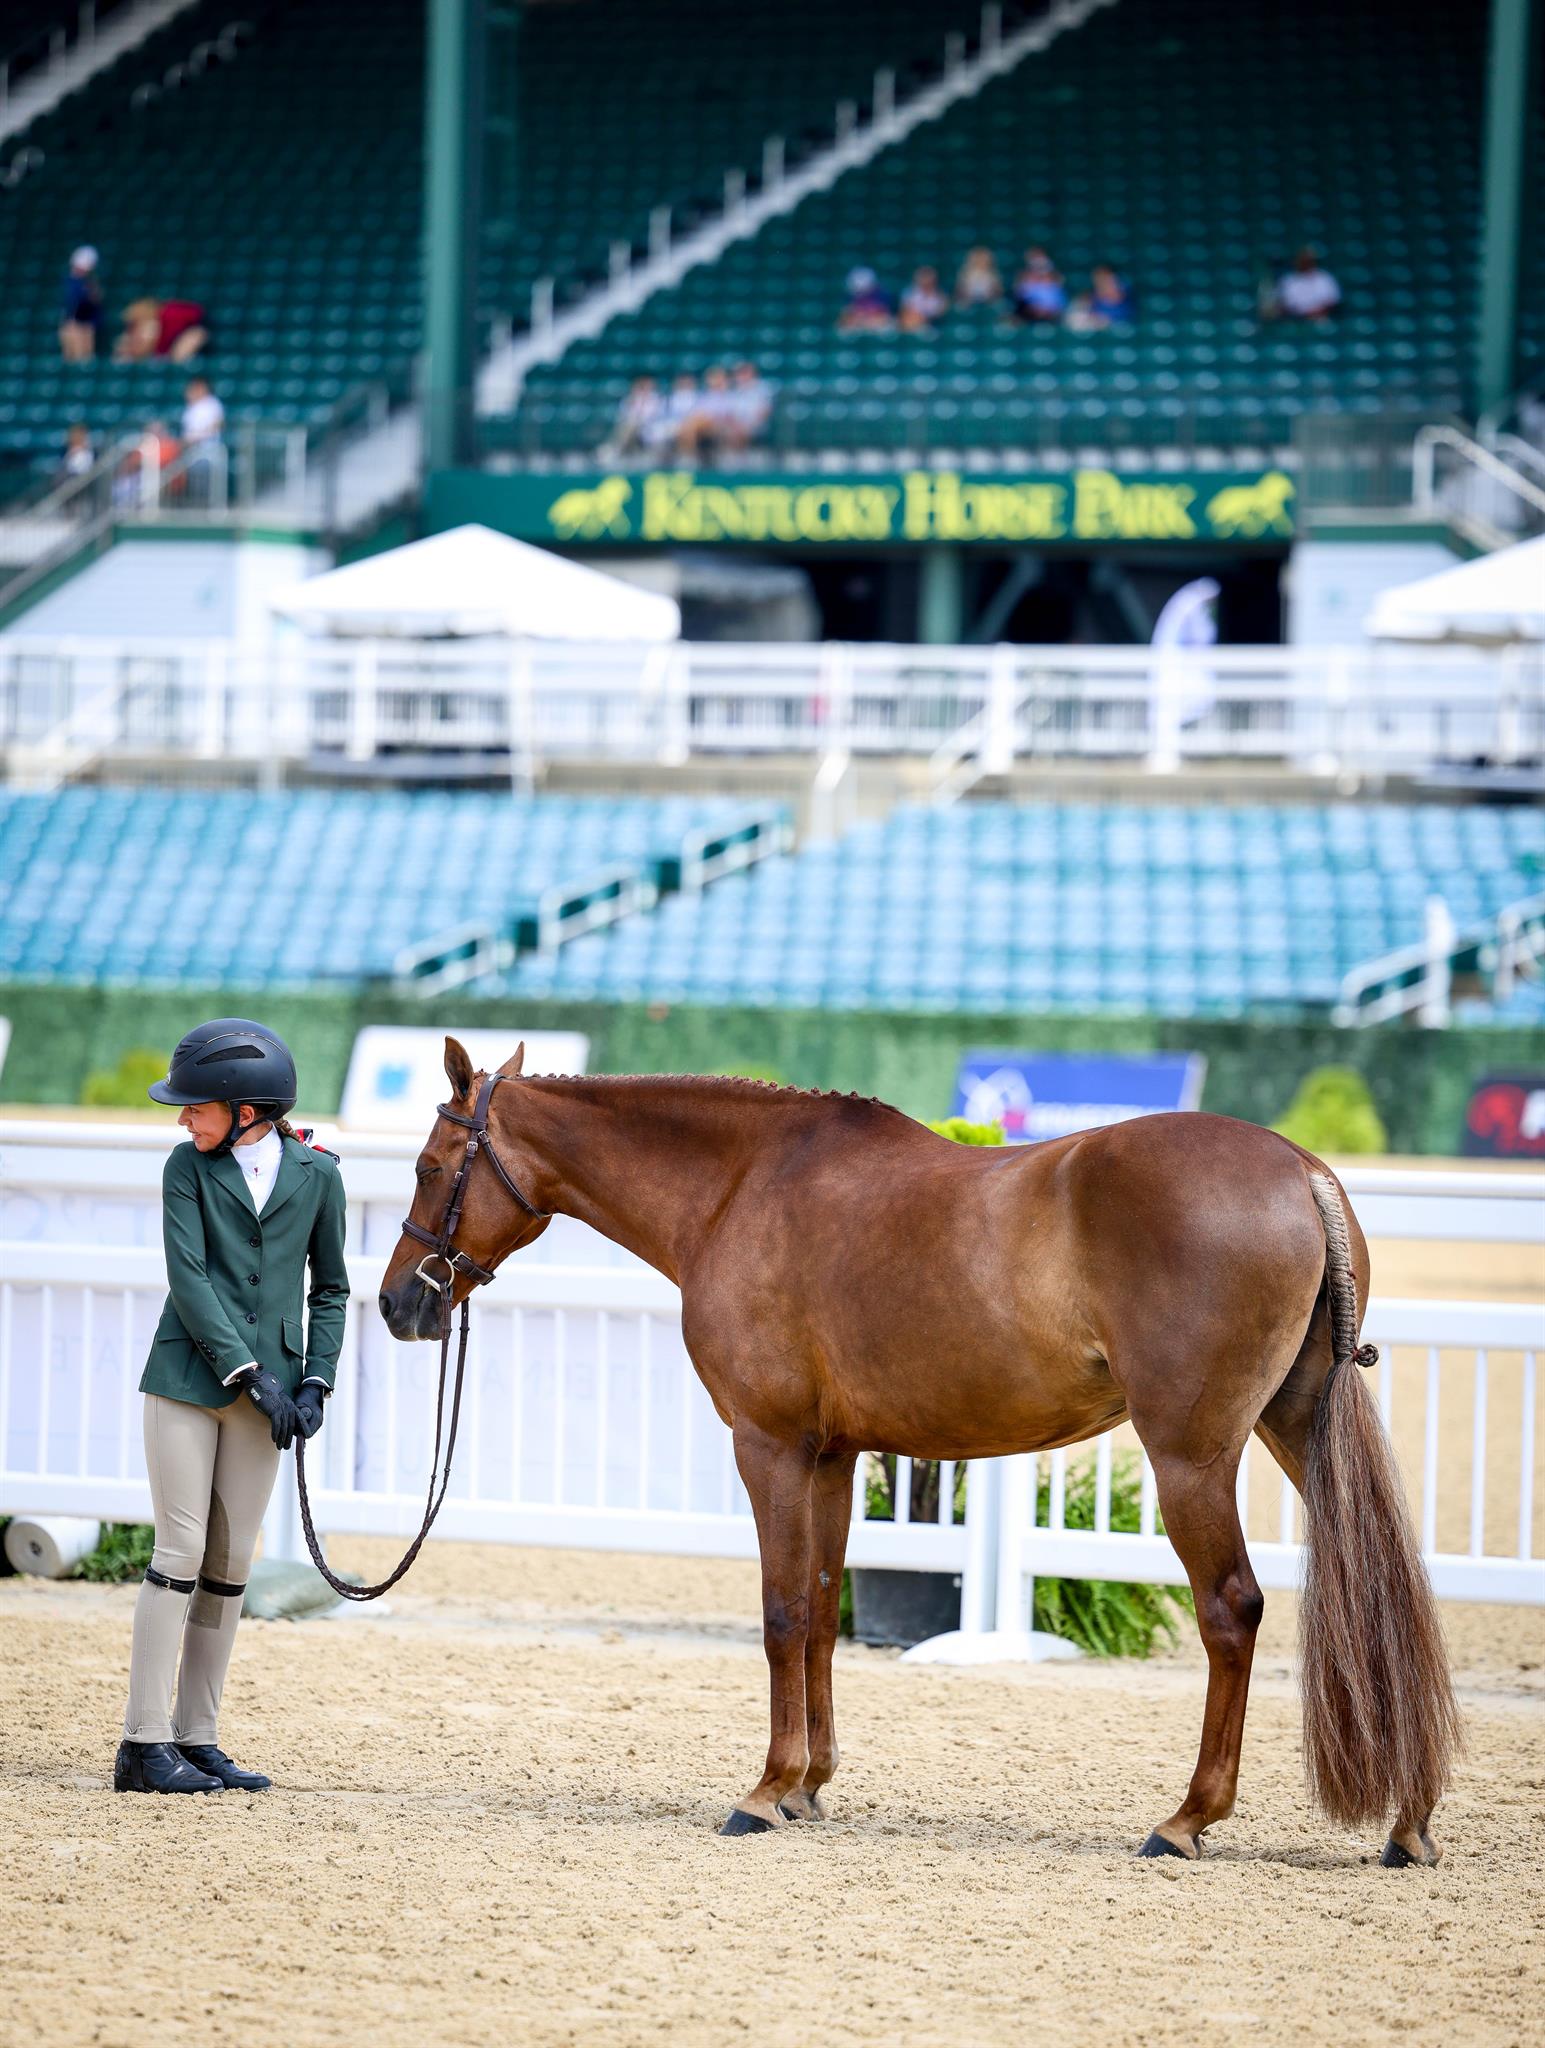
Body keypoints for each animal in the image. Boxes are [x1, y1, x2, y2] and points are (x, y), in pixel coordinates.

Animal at [378, 1039, 1460, 1867]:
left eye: (432, 1163)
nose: (398, 1302)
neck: (738, 1187)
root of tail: (1301, 1171)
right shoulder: (831, 1454)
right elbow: (819, 1609)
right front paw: (808, 1784)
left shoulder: (768, 1445)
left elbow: (780, 1610)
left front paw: (764, 1790)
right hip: (1292, 1423)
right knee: (1383, 1598)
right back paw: (1407, 1823)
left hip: (1192, 1454)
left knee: (1230, 1609)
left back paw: (1187, 1818)